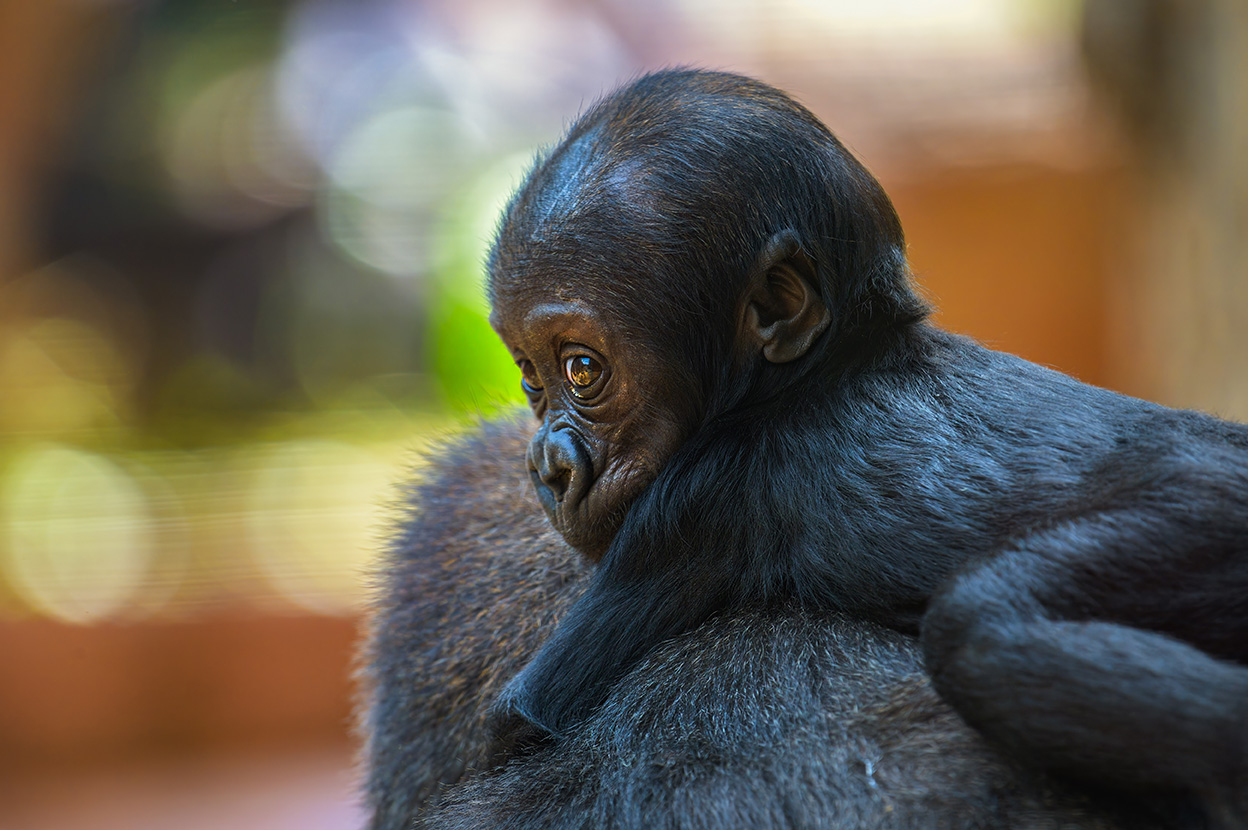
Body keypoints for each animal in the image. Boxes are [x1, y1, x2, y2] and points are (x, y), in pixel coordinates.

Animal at [486, 68, 1248, 823]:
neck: (834, 362)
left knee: (980, 629)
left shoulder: (688, 506)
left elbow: (525, 715)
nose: (547, 468)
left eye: (583, 370)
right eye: (530, 379)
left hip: (1198, 517)